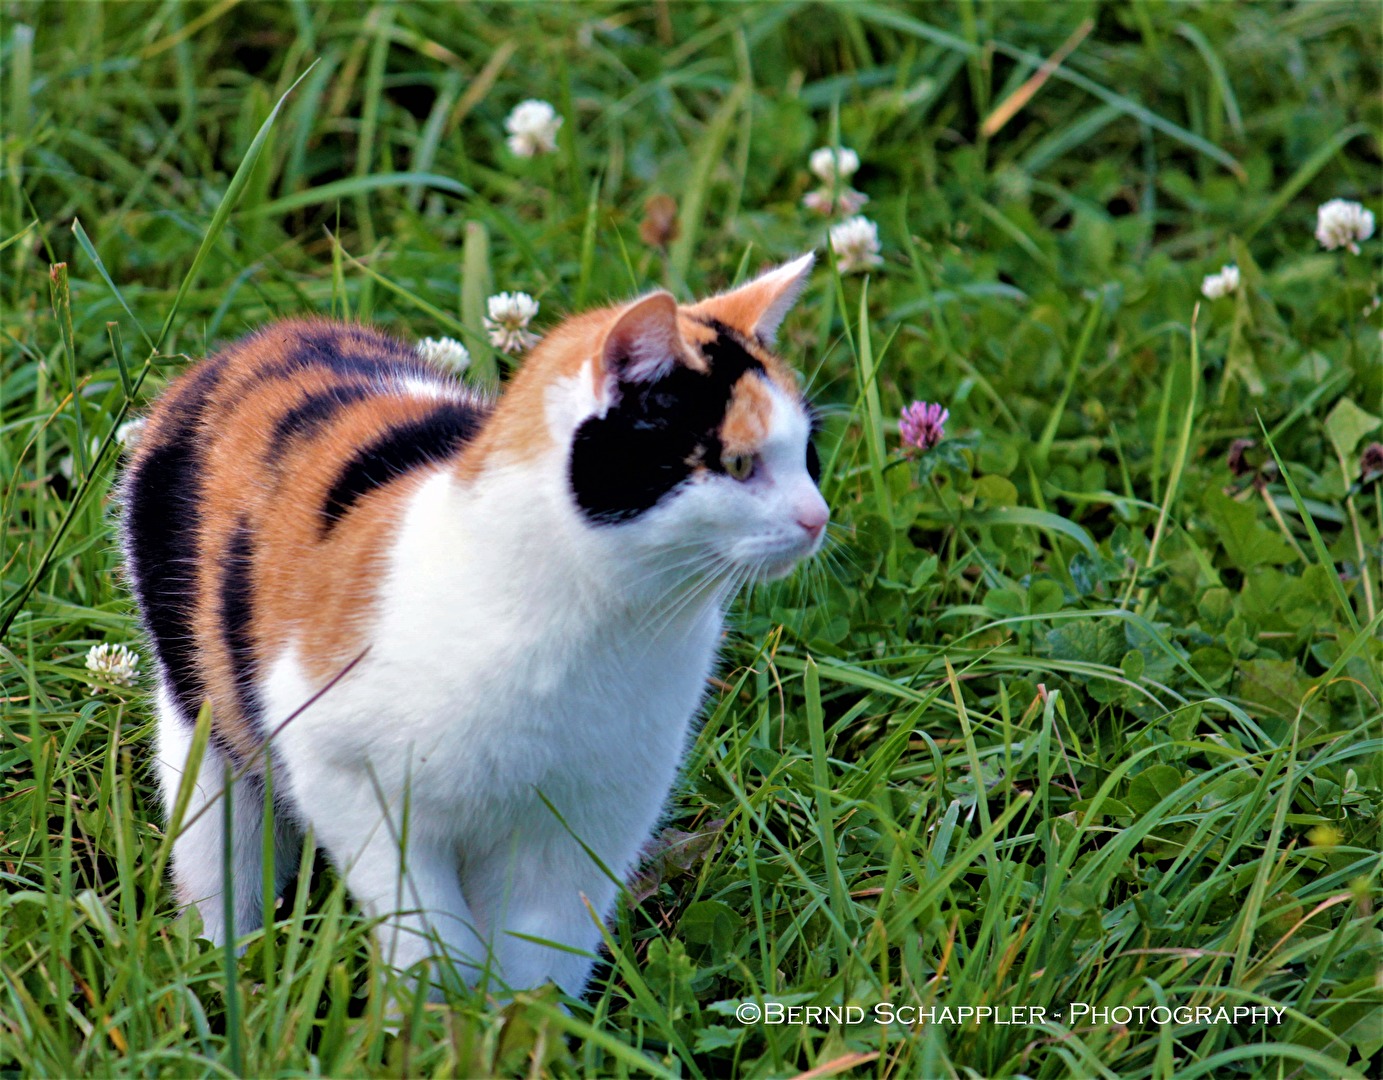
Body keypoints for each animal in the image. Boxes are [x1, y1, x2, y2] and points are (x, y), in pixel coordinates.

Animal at [118, 253, 824, 995]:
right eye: (739, 463)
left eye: (809, 456)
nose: (818, 517)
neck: (602, 628)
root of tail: (263, 339)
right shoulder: (346, 775)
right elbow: (428, 937)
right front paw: (434, 1015)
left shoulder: (589, 822)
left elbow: (541, 954)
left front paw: (522, 1021)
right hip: (203, 732)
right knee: (217, 853)